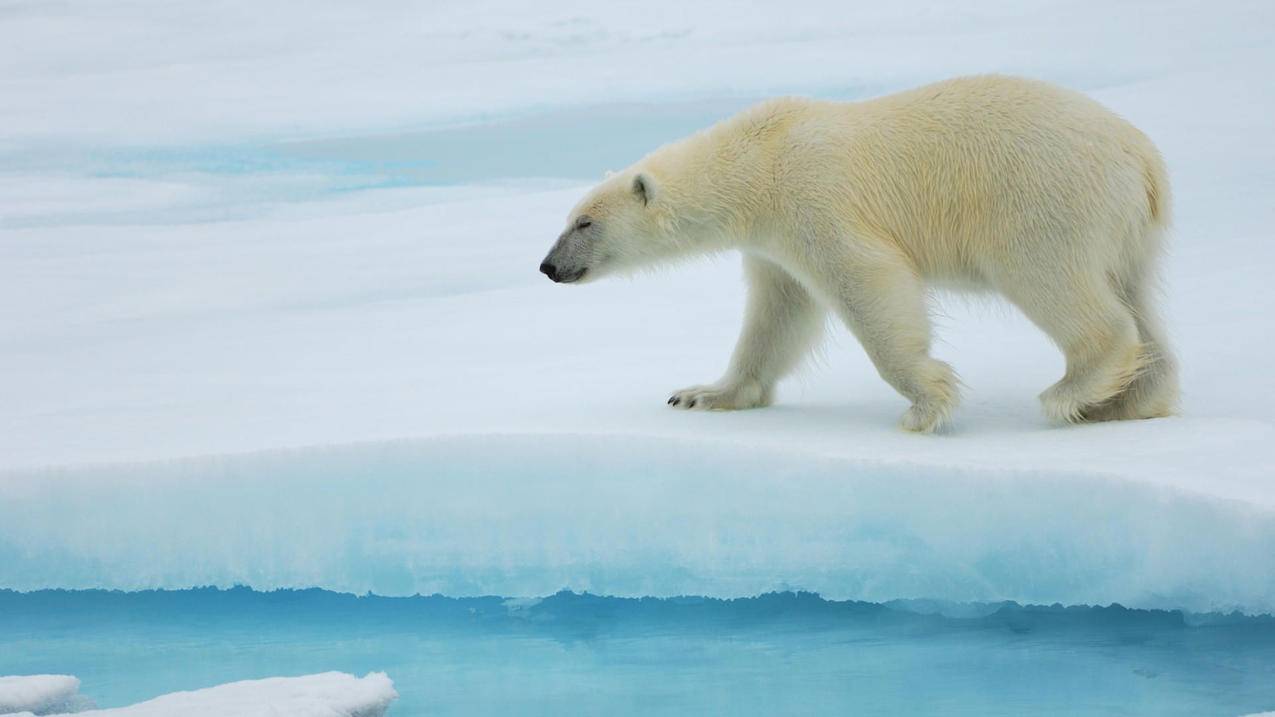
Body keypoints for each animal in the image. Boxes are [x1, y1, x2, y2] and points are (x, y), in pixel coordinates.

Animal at [538, 73, 1173, 428]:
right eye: (567, 219)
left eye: (585, 222)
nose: (548, 267)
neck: (758, 160)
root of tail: (1141, 156)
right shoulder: (771, 242)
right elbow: (777, 314)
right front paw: (701, 394)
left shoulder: (813, 200)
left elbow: (867, 281)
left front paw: (926, 403)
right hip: (1126, 229)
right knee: (1137, 297)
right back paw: (1129, 400)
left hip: (1042, 200)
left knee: (1056, 284)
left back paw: (1073, 391)